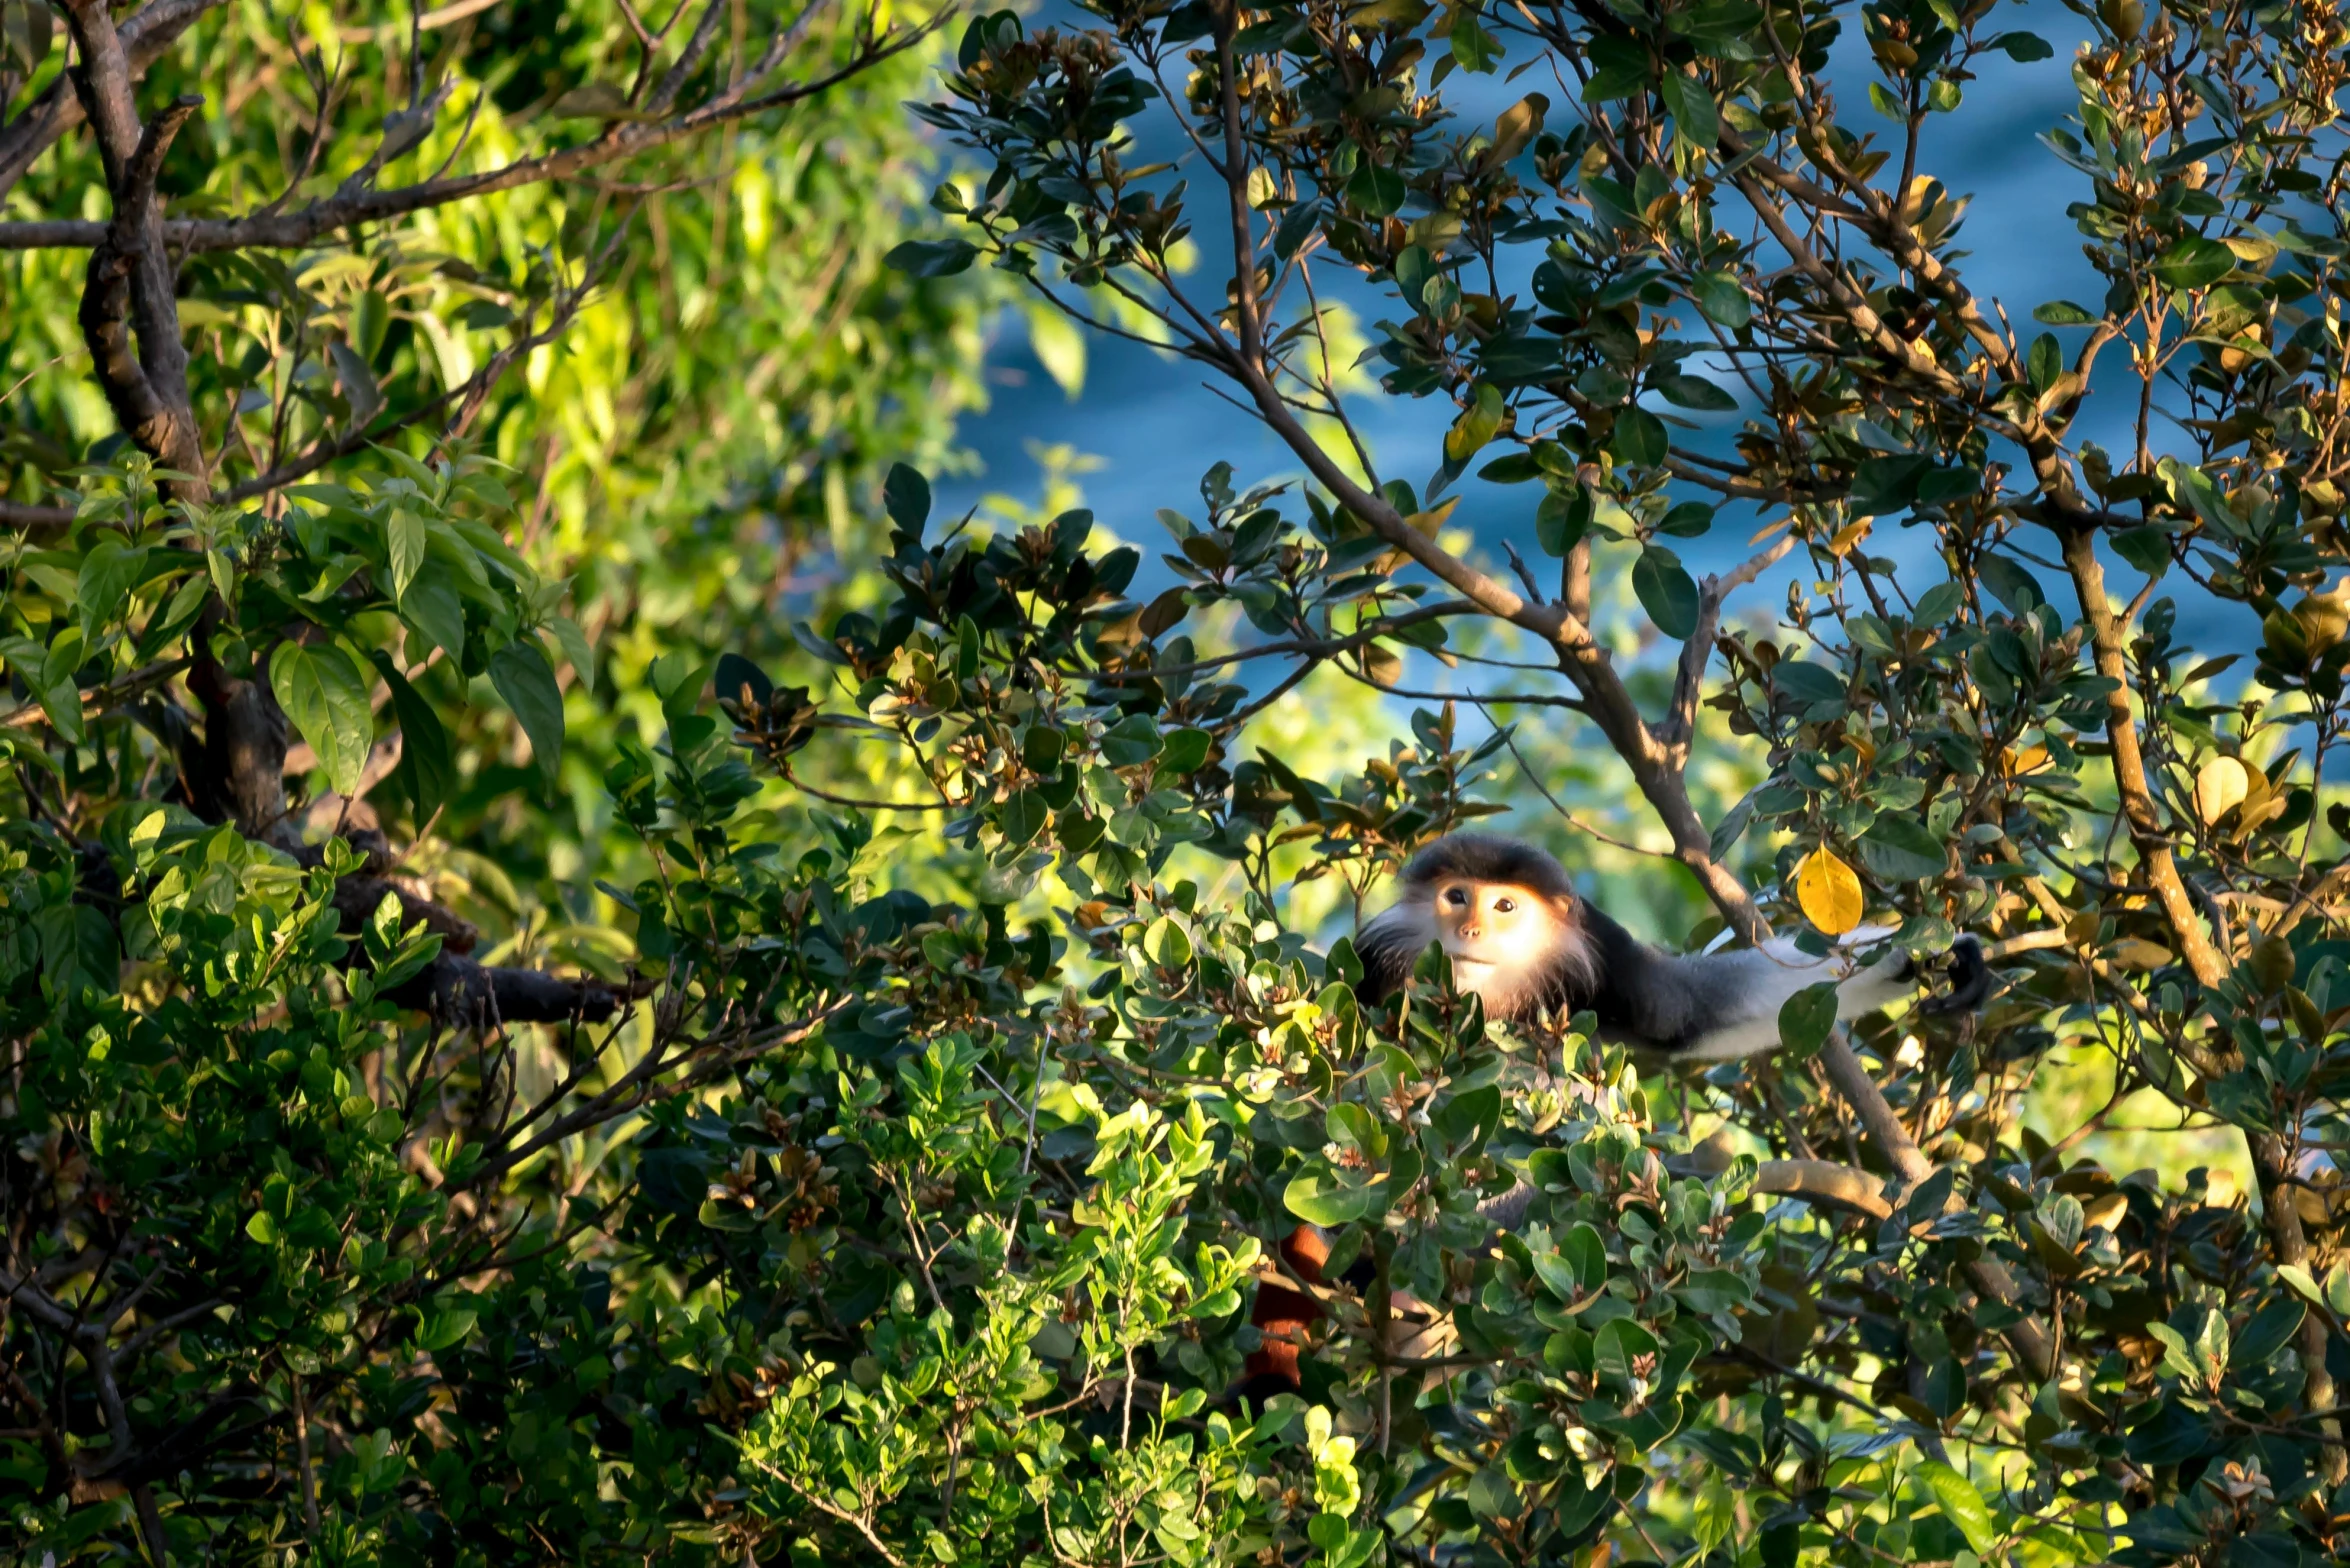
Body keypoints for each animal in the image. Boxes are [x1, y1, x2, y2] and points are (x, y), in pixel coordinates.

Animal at [1240, 832, 1992, 1401]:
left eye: (1504, 905)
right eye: (1456, 896)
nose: (1470, 927)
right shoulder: (1372, 963)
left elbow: (1686, 1012)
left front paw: (1920, 956)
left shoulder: (1602, 949)